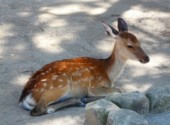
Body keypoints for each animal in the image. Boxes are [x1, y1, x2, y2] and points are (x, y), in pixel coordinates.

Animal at [18, 17, 149, 116]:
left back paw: (80, 100)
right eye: (129, 45)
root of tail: (24, 97)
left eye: (139, 41)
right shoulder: (94, 85)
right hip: (60, 85)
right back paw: (82, 100)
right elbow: (119, 90)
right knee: (39, 109)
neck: (108, 73)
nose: (147, 58)